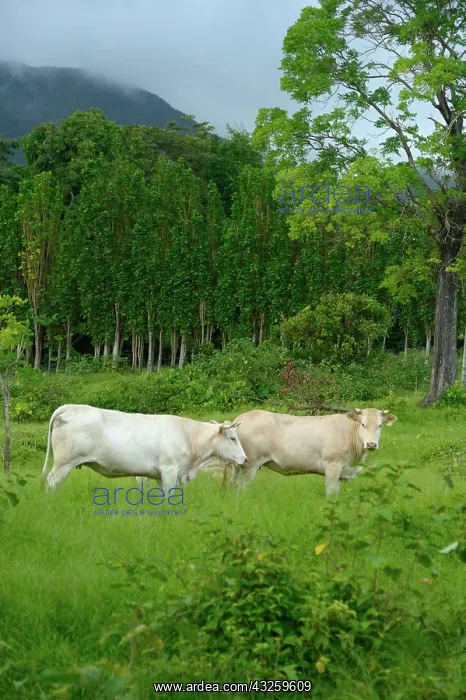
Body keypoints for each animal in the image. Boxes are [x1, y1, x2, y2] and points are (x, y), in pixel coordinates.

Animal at [40, 404, 247, 492]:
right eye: (232, 437)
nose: (244, 459)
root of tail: (70, 407)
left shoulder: (159, 476)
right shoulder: (170, 471)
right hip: (63, 464)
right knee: (51, 483)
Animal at [228, 408, 397, 496]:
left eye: (380, 425)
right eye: (363, 424)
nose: (371, 444)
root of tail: (243, 416)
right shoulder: (333, 466)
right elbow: (331, 493)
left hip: (239, 465)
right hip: (250, 465)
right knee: (241, 488)